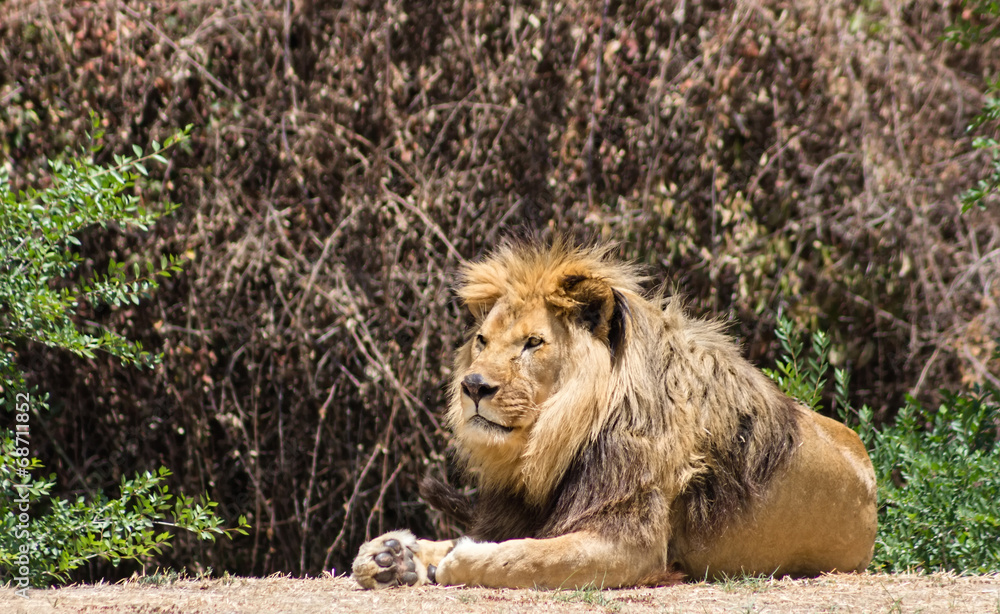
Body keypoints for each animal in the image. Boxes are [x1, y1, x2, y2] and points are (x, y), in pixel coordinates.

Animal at [352, 240, 877, 589]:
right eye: (482, 340)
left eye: (533, 343)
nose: (474, 386)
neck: (551, 443)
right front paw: (391, 555)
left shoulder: (630, 544)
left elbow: (523, 557)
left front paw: (455, 562)